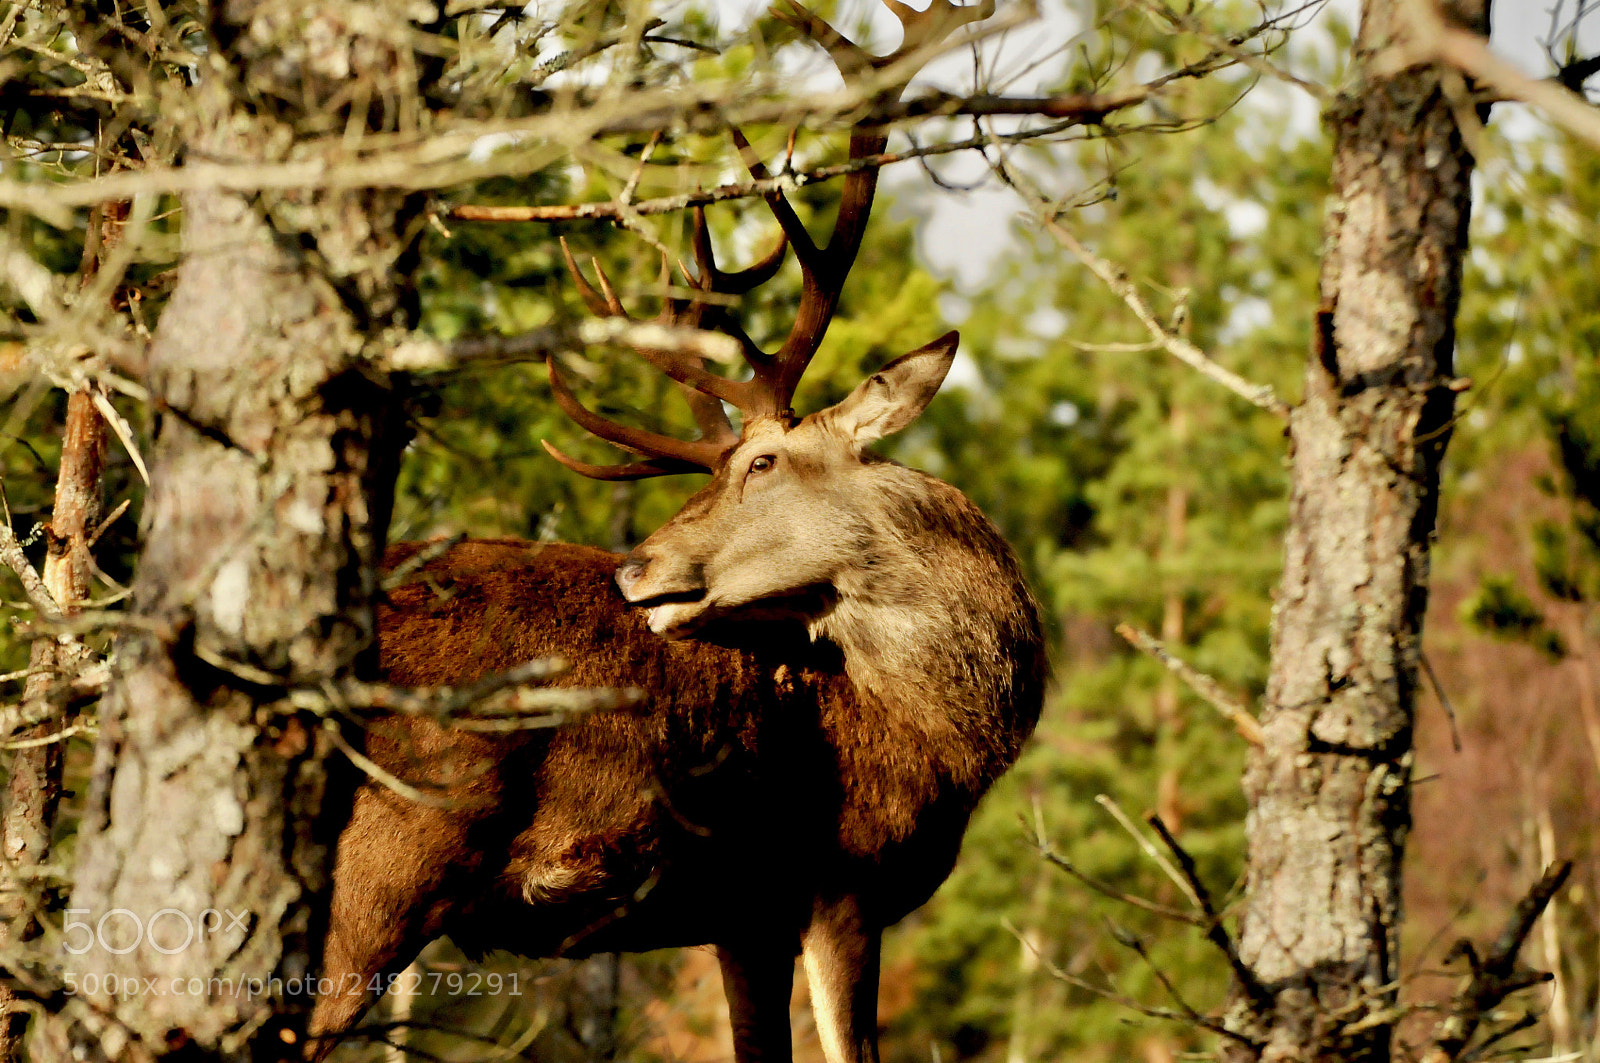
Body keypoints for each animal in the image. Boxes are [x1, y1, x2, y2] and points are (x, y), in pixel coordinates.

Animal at [308, 2, 1046, 1061]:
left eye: (760, 463)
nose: (634, 568)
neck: (939, 733)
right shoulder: (840, 880)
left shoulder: (741, 915)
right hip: (387, 856)